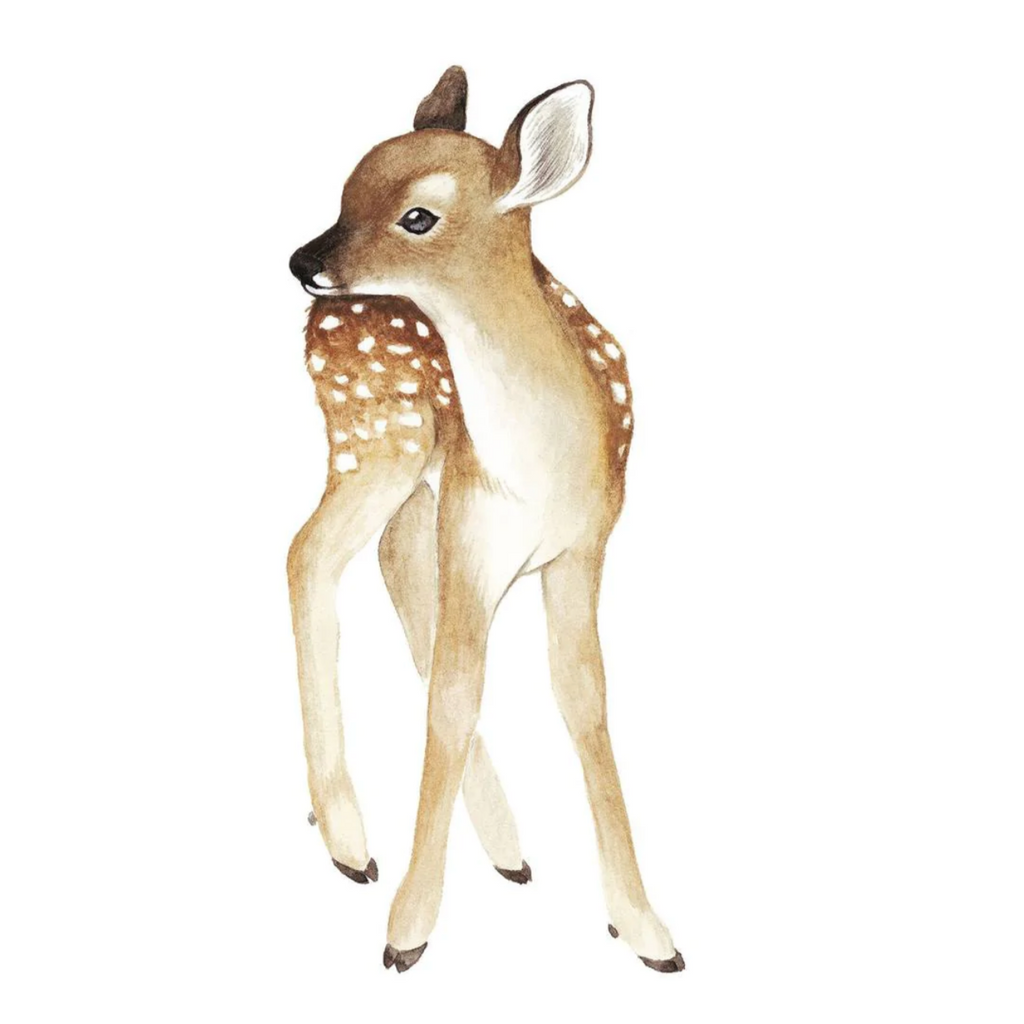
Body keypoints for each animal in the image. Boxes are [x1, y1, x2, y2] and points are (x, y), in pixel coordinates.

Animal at [286, 67, 684, 974]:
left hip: (415, 473)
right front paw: (407, 931)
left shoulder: (584, 546)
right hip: (377, 440)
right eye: (345, 188)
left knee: (388, 564)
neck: (541, 465)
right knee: (310, 555)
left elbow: (583, 699)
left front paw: (645, 928)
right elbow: (457, 695)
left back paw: (503, 848)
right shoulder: (476, 532)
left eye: (418, 216)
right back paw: (352, 842)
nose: (303, 259)